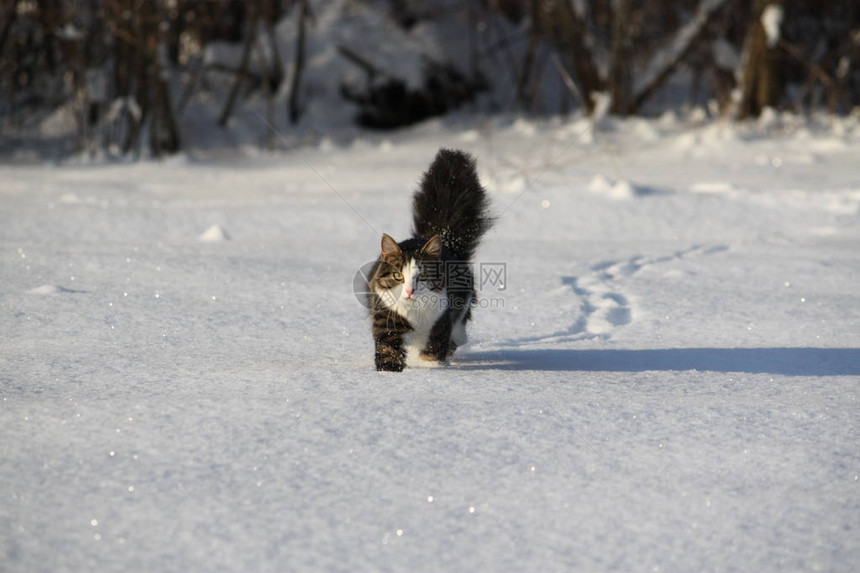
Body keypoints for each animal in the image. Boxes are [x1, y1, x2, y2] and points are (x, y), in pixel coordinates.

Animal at [364, 147, 498, 370]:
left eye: (423, 276)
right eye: (398, 276)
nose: (410, 291)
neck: (414, 312)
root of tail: (445, 239)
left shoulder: (441, 322)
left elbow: (434, 351)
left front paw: (430, 369)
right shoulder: (386, 318)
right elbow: (388, 349)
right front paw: (389, 370)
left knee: (458, 335)